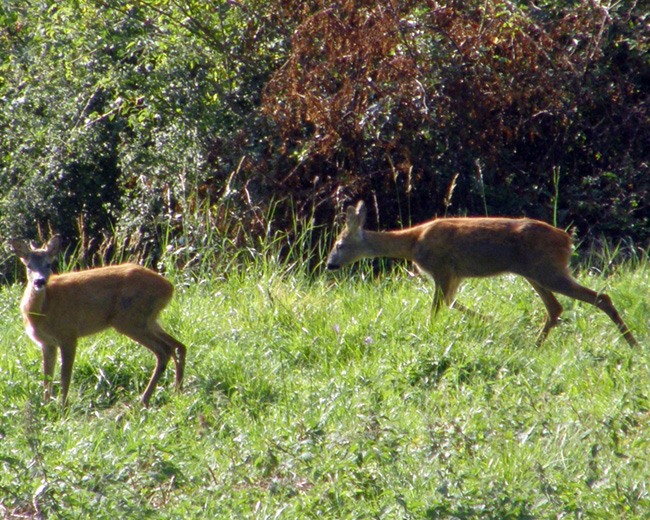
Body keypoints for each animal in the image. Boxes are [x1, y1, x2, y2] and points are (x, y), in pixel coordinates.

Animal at [8, 235, 186, 406]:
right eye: (29, 265)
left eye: (49, 264)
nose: (40, 281)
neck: (42, 311)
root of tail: (169, 288)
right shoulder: (47, 343)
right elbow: (47, 377)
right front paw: (46, 405)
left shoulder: (68, 335)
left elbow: (65, 375)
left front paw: (64, 408)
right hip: (148, 320)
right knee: (178, 346)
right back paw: (176, 391)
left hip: (130, 320)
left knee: (164, 350)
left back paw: (144, 400)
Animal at [326, 201, 636, 348]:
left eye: (339, 245)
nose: (330, 265)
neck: (413, 243)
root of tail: (567, 240)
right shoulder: (456, 275)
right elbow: (452, 303)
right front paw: (490, 319)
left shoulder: (442, 268)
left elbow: (437, 308)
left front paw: (428, 332)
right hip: (535, 272)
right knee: (556, 308)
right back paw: (535, 345)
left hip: (548, 270)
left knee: (600, 297)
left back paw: (631, 343)